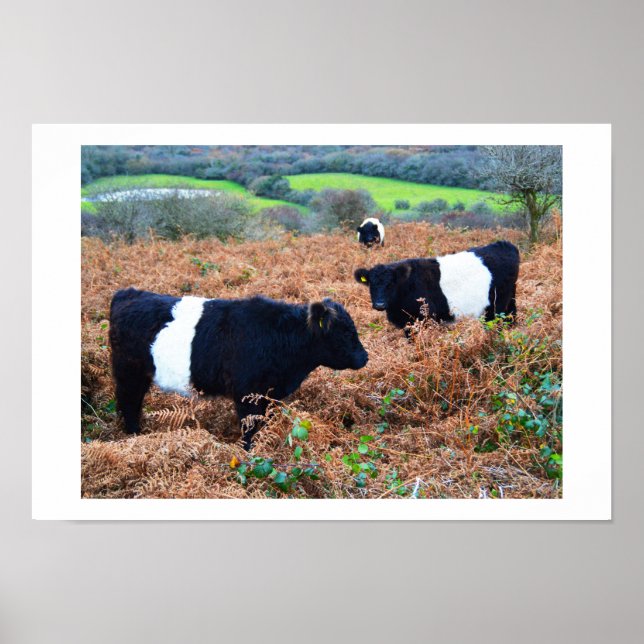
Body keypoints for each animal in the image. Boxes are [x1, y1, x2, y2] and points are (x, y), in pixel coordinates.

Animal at [109, 288, 368, 450]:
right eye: (346, 332)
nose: (364, 357)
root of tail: (127, 293)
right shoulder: (247, 394)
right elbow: (250, 428)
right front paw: (249, 453)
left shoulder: (269, 396)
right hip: (128, 373)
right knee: (128, 403)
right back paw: (134, 435)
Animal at [354, 240, 519, 330]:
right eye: (371, 285)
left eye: (390, 284)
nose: (379, 304)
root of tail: (505, 244)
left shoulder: (422, 319)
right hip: (510, 301)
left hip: (496, 307)